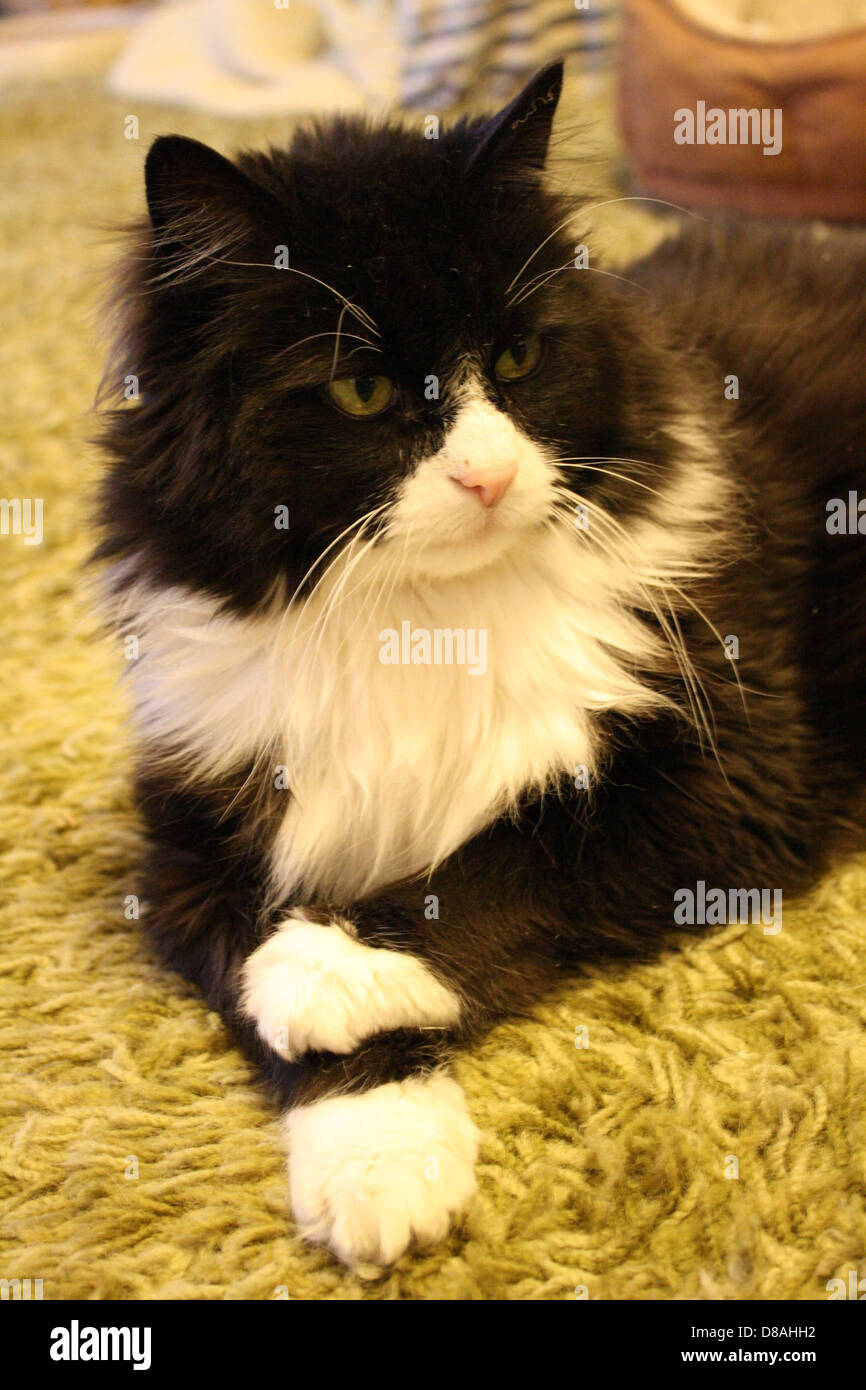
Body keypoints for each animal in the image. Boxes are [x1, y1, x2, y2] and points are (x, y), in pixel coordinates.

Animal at [94, 59, 866, 1267]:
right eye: (361, 391)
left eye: (515, 357)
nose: (491, 478)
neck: (420, 615)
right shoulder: (192, 842)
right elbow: (279, 1015)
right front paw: (377, 1164)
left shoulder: (731, 776)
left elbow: (505, 862)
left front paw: (331, 967)